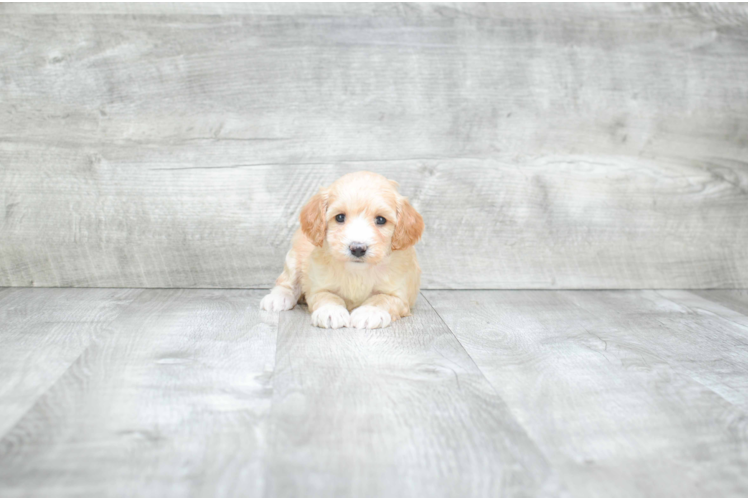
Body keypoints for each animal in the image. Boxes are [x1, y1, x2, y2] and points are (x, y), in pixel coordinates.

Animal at [258, 170, 424, 330]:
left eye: (381, 220)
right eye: (339, 217)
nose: (357, 248)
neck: (357, 271)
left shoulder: (400, 295)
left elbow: (382, 299)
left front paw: (370, 312)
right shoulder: (319, 286)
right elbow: (327, 297)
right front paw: (330, 312)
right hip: (294, 258)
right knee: (287, 281)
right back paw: (278, 298)